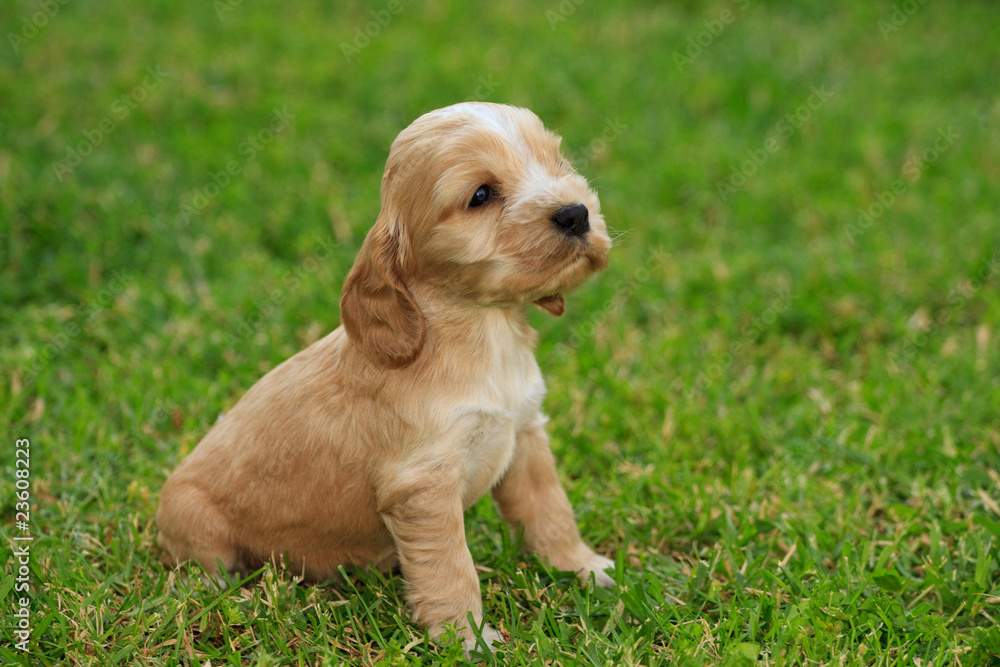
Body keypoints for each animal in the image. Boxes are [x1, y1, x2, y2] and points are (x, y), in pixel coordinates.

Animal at [156, 103, 612, 652]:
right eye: (481, 195)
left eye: (556, 161)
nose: (576, 213)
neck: (485, 327)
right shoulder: (422, 487)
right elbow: (451, 567)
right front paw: (467, 637)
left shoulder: (525, 436)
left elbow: (551, 512)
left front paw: (582, 568)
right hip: (196, 523)